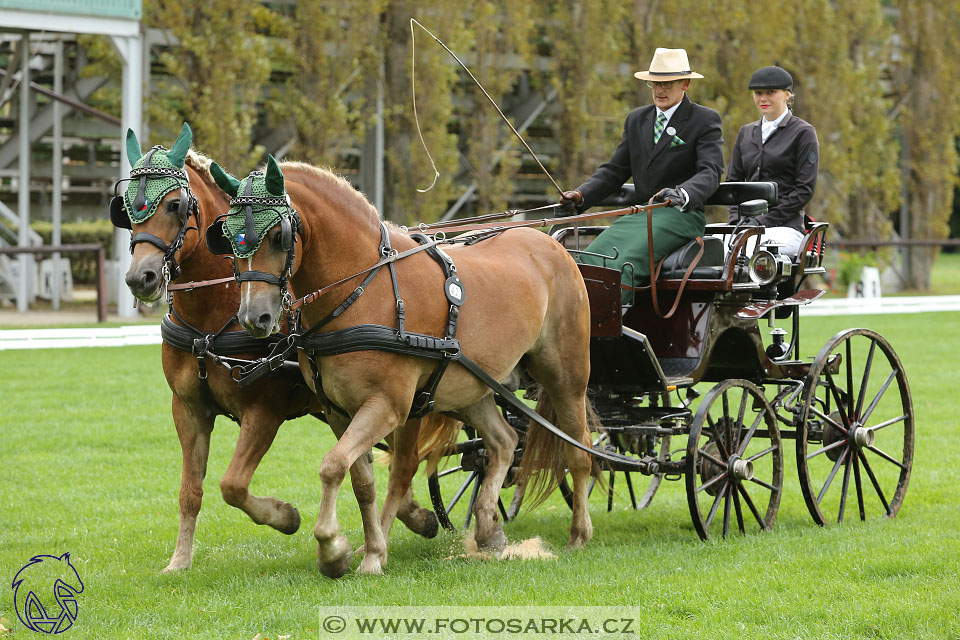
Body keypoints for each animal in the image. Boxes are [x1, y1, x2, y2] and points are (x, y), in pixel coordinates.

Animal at [113, 122, 438, 572]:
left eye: (175, 205)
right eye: (125, 209)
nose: (139, 278)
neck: (211, 319)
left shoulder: (264, 411)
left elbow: (232, 484)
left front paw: (286, 517)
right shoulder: (188, 408)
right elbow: (190, 491)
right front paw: (179, 561)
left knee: (403, 464)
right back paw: (414, 517)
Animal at [209, 158, 596, 576]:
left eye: (277, 236)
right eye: (227, 238)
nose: (255, 317)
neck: (363, 286)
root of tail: (549, 244)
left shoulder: (387, 406)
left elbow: (333, 465)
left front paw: (333, 548)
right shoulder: (338, 411)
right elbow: (361, 481)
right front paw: (367, 550)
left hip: (566, 377)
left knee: (579, 450)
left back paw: (579, 533)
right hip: (470, 387)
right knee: (504, 442)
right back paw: (488, 528)